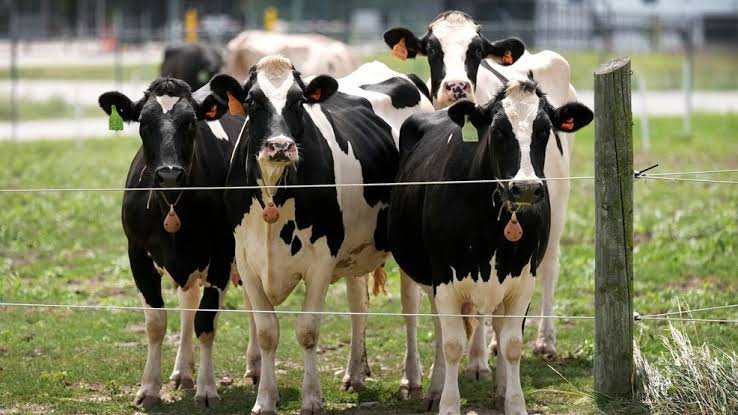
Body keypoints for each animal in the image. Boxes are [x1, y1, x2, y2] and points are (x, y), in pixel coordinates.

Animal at [98, 75, 244, 409]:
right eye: (144, 122)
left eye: (190, 122)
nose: (168, 174)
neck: (173, 204)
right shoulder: (137, 253)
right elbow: (156, 323)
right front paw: (149, 389)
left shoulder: (222, 253)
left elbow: (206, 322)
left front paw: (207, 389)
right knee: (187, 306)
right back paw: (182, 372)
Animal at [223, 55, 433, 415]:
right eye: (251, 101)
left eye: (299, 101)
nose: (280, 146)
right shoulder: (247, 262)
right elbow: (267, 332)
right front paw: (265, 400)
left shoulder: (321, 260)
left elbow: (307, 330)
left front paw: (311, 399)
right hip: (354, 249)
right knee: (358, 305)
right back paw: (355, 373)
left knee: (411, 308)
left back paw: (412, 379)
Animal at [384, 11, 580, 387]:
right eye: (432, 48)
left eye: (476, 51)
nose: (456, 87)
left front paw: (477, 363)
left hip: (560, 201)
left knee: (549, 266)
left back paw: (544, 340)